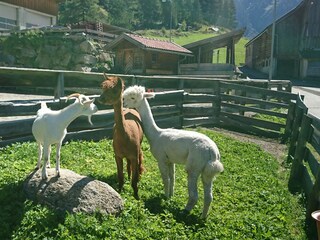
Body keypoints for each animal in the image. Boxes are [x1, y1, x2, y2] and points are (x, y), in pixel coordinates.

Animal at [124, 86, 224, 218]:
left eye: (132, 97)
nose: (123, 103)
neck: (156, 134)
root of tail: (212, 151)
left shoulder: (161, 159)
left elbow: (165, 179)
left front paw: (165, 197)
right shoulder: (170, 160)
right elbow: (172, 178)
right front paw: (171, 196)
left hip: (195, 165)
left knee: (194, 195)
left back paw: (184, 212)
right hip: (207, 170)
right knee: (209, 195)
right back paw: (203, 216)